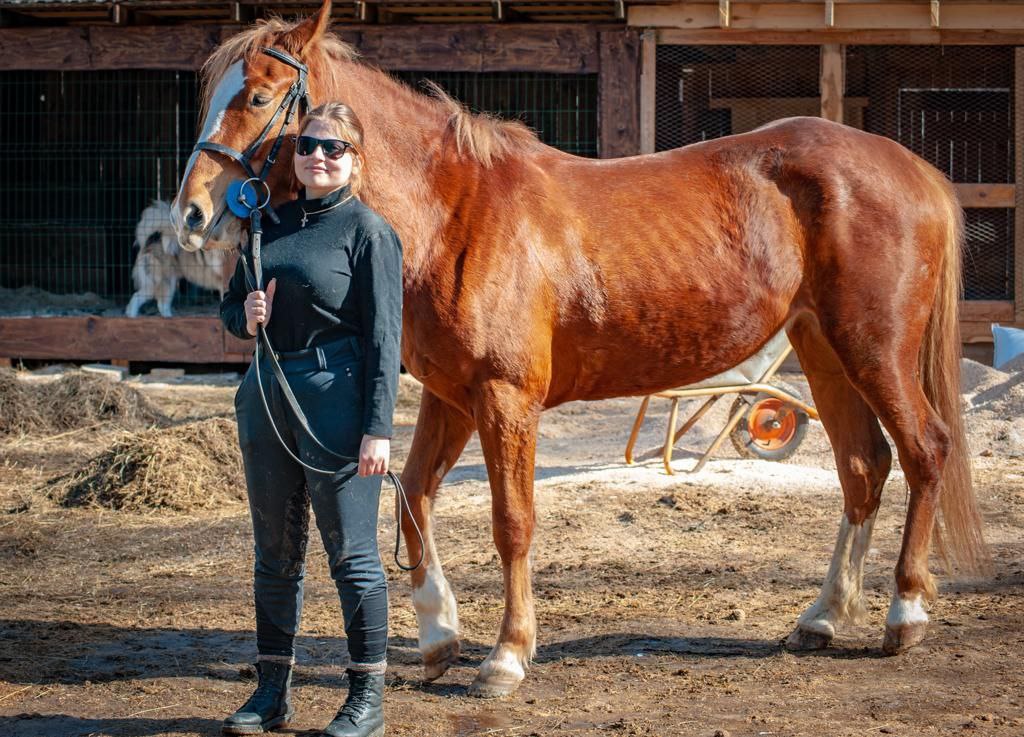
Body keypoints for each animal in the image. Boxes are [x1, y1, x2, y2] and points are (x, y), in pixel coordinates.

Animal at [174, 1, 983, 696]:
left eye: (258, 96)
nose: (193, 214)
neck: (455, 213)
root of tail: (913, 169)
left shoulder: (505, 398)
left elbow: (512, 522)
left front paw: (506, 656)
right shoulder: (449, 395)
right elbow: (414, 501)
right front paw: (439, 637)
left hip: (874, 348)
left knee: (925, 449)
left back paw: (904, 614)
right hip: (822, 349)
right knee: (863, 467)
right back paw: (821, 618)